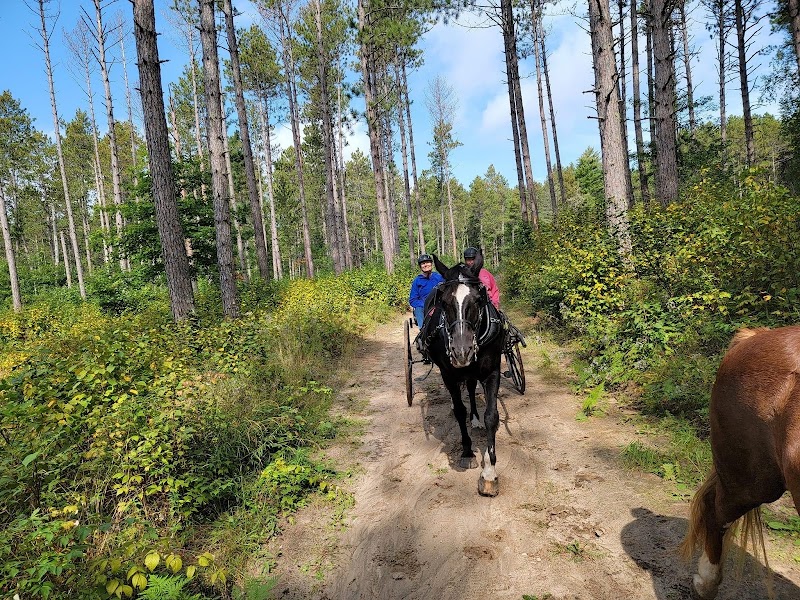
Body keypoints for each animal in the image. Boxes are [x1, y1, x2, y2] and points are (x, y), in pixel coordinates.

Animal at [419, 252, 505, 496]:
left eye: (478, 299)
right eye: (444, 302)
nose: (461, 351)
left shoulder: (492, 372)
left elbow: (491, 416)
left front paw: (489, 472)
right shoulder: (448, 374)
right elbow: (459, 410)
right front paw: (467, 452)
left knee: (470, 386)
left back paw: (474, 418)